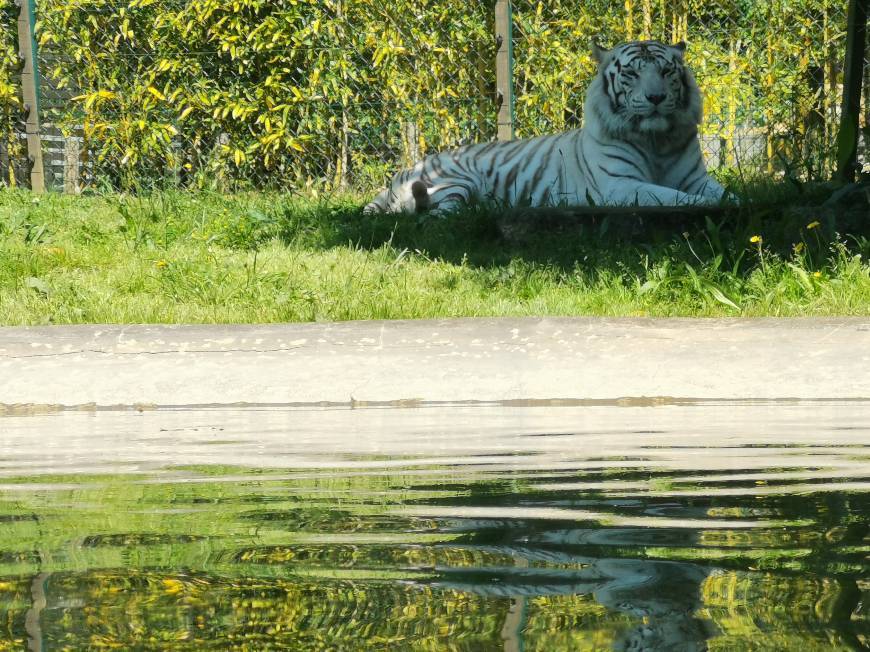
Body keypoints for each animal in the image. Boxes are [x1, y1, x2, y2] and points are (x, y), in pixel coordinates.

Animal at [364, 40, 732, 214]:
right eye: (631, 73)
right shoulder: (621, 185)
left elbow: (728, 194)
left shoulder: (695, 178)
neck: (658, 141)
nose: (656, 97)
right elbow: (677, 197)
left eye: (667, 72)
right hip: (453, 183)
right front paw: (706, 206)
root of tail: (401, 172)